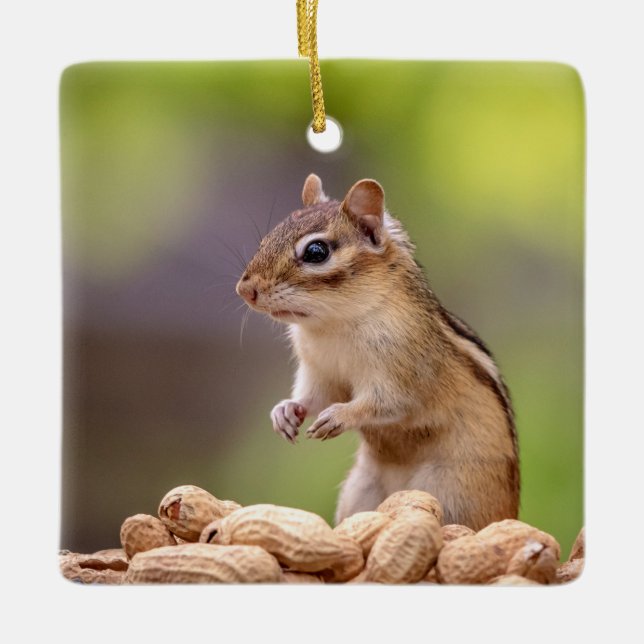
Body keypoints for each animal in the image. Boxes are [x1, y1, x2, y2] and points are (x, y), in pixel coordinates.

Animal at [236, 174, 519, 530]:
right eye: (266, 240)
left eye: (316, 251)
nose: (245, 289)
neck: (333, 325)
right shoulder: (320, 373)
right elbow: (315, 397)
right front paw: (285, 411)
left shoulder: (405, 372)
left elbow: (387, 403)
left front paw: (340, 416)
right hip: (360, 491)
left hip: (451, 493)